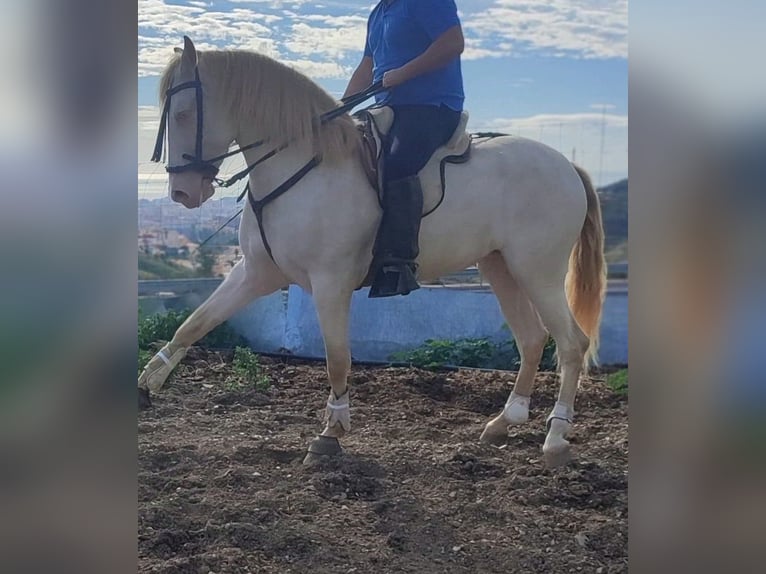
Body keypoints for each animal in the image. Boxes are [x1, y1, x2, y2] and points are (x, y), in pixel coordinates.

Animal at [139, 36, 606, 468]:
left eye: (183, 114)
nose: (182, 194)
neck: (302, 167)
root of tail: (567, 166)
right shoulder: (256, 272)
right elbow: (193, 324)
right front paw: (148, 381)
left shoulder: (330, 283)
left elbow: (337, 358)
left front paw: (331, 431)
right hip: (501, 267)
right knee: (532, 339)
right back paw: (504, 422)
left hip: (538, 271)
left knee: (571, 344)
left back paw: (556, 437)